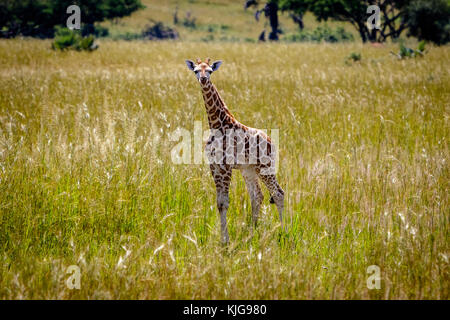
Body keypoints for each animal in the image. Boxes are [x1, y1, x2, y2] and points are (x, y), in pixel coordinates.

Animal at [184, 58, 284, 242]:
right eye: (196, 70)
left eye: (210, 71)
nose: (203, 79)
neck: (216, 124)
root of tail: (271, 142)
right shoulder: (215, 166)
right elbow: (219, 203)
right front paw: (223, 240)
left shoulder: (225, 167)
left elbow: (225, 203)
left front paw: (226, 241)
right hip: (249, 170)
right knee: (257, 196)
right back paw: (252, 233)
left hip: (265, 167)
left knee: (279, 193)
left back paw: (285, 231)